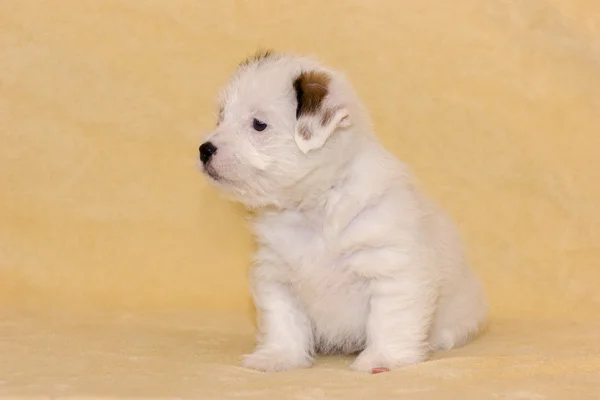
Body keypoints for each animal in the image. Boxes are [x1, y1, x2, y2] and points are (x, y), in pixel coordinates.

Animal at [198, 51, 488, 374]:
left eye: (258, 124)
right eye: (222, 117)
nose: (204, 149)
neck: (315, 206)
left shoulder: (391, 269)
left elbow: (389, 321)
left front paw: (382, 360)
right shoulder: (275, 277)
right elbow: (282, 323)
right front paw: (277, 357)